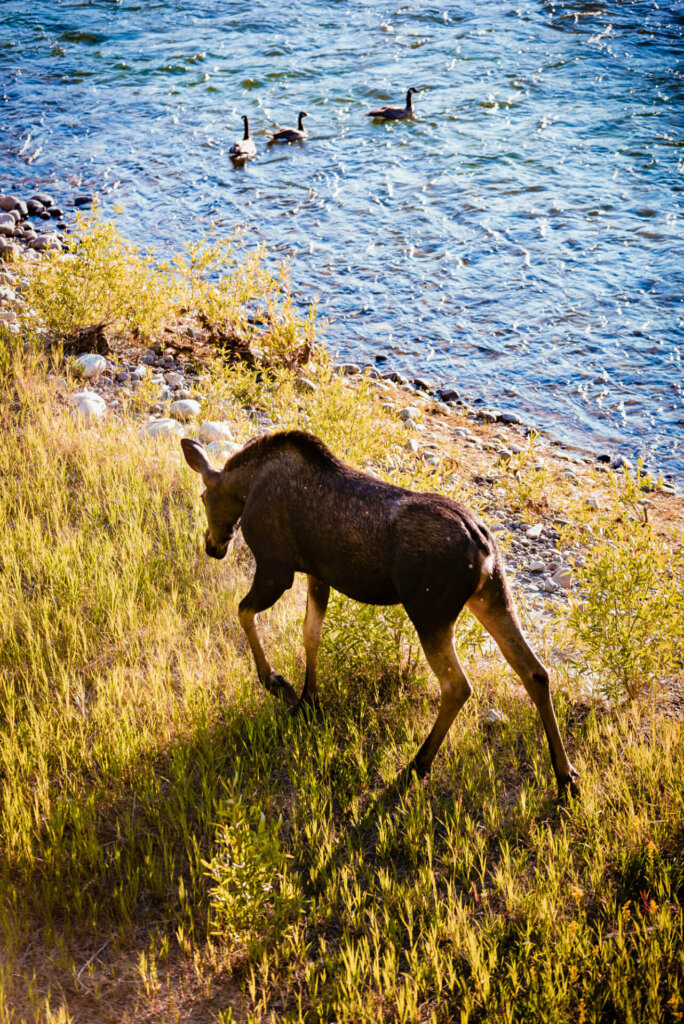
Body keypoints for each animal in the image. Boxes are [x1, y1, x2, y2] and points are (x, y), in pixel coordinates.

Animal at [181, 430, 578, 799]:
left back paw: (417, 765)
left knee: (458, 686)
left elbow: (244, 612)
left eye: (202, 497)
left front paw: (275, 681)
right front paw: (308, 698)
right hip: (494, 598)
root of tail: (483, 546)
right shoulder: (318, 574)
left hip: (429, 611)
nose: (212, 546)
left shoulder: (276, 567)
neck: (246, 486)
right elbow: (311, 635)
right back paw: (565, 776)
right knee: (536, 672)